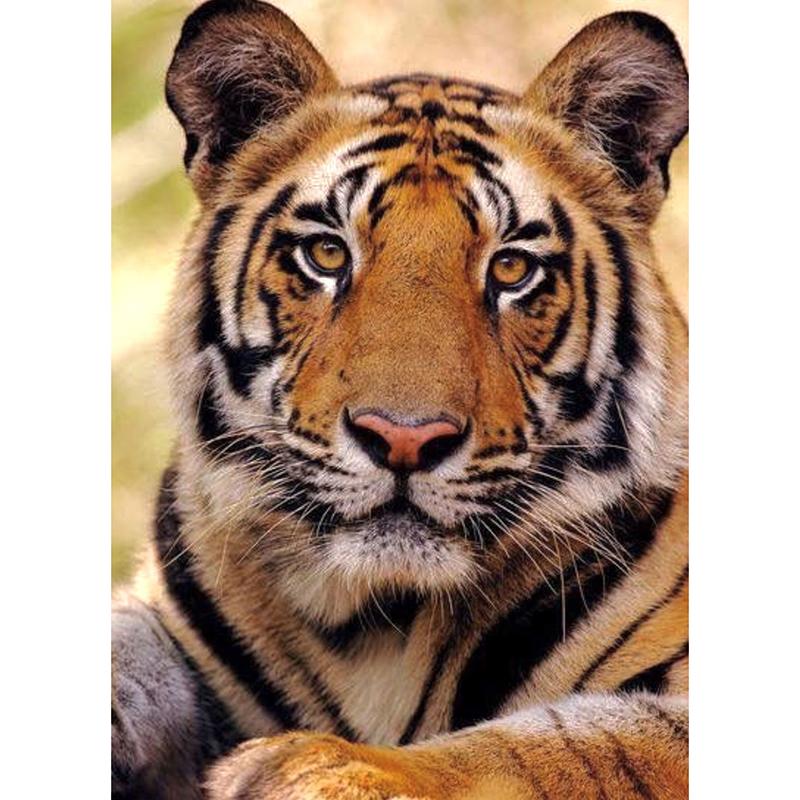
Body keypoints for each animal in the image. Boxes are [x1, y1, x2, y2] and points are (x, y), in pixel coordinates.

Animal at [111, 1, 689, 798]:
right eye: (327, 254)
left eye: (511, 269)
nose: (404, 439)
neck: (372, 625)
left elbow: (567, 745)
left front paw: (317, 765)